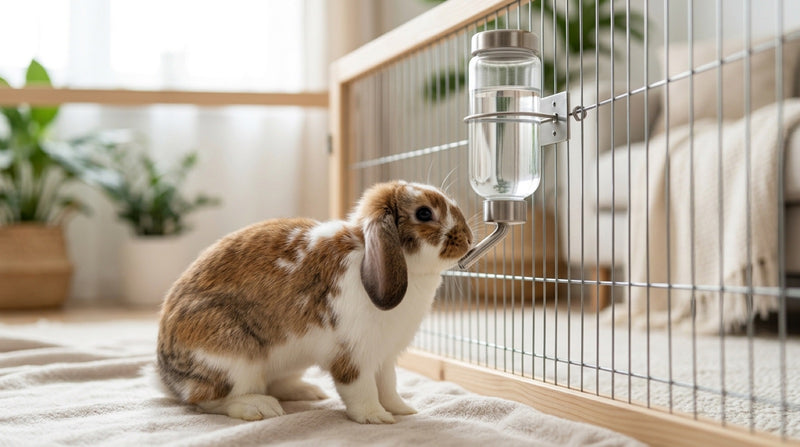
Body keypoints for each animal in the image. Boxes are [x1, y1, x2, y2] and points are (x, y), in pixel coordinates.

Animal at [156, 180, 473, 424]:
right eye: (424, 213)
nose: (469, 239)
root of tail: (166, 377)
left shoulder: (384, 357)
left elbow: (389, 386)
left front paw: (403, 410)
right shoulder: (354, 356)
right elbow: (362, 389)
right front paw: (376, 417)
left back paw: (307, 391)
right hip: (231, 358)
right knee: (203, 399)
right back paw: (259, 406)